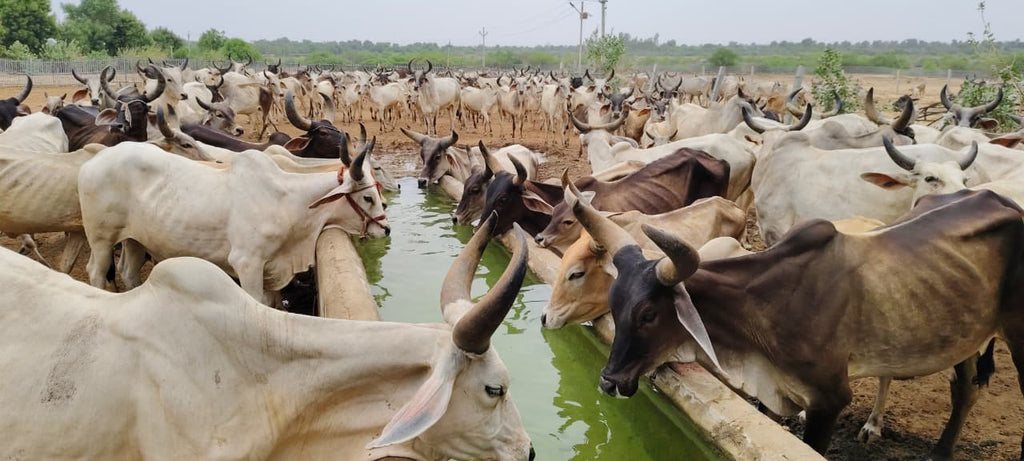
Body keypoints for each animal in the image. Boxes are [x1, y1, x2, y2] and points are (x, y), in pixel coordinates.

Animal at [78, 137, 389, 305]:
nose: (385, 228)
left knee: (129, 273)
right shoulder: (246, 264)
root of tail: (94, 160)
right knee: (96, 271)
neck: (286, 201)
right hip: (101, 238)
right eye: (367, 198)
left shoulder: (271, 270)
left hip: (135, 240)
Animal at [567, 184, 1024, 460]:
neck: (763, 308)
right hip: (964, 333)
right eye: (614, 304)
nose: (608, 381)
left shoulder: (830, 400)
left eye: (648, 314)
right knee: (965, 390)